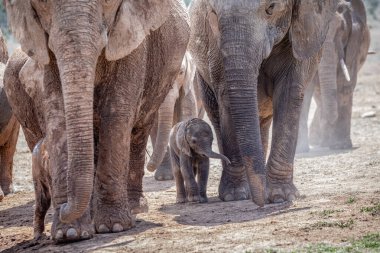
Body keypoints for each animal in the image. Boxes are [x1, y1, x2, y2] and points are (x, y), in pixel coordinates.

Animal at [4, 0, 190, 245]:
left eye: (109, 3)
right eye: (42, 5)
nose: (63, 205)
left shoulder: (132, 40)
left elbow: (116, 113)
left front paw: (112, 226)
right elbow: (57, 110)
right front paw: (69, 234)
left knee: (139, 130)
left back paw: (134, 208)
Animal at [147, 52, 205, 180]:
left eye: (181, 72)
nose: (148, 166)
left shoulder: (188, 88)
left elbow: (186, 118)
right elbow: (155, 126)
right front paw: (164, 177)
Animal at [189, 0, 338, 206]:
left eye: (271, 8)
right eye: (213, 12)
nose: (261, 203)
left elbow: (289, 95)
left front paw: (280, 196)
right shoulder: (216, 44)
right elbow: (227, 97)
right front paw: (235, 195)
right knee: (216, 114)